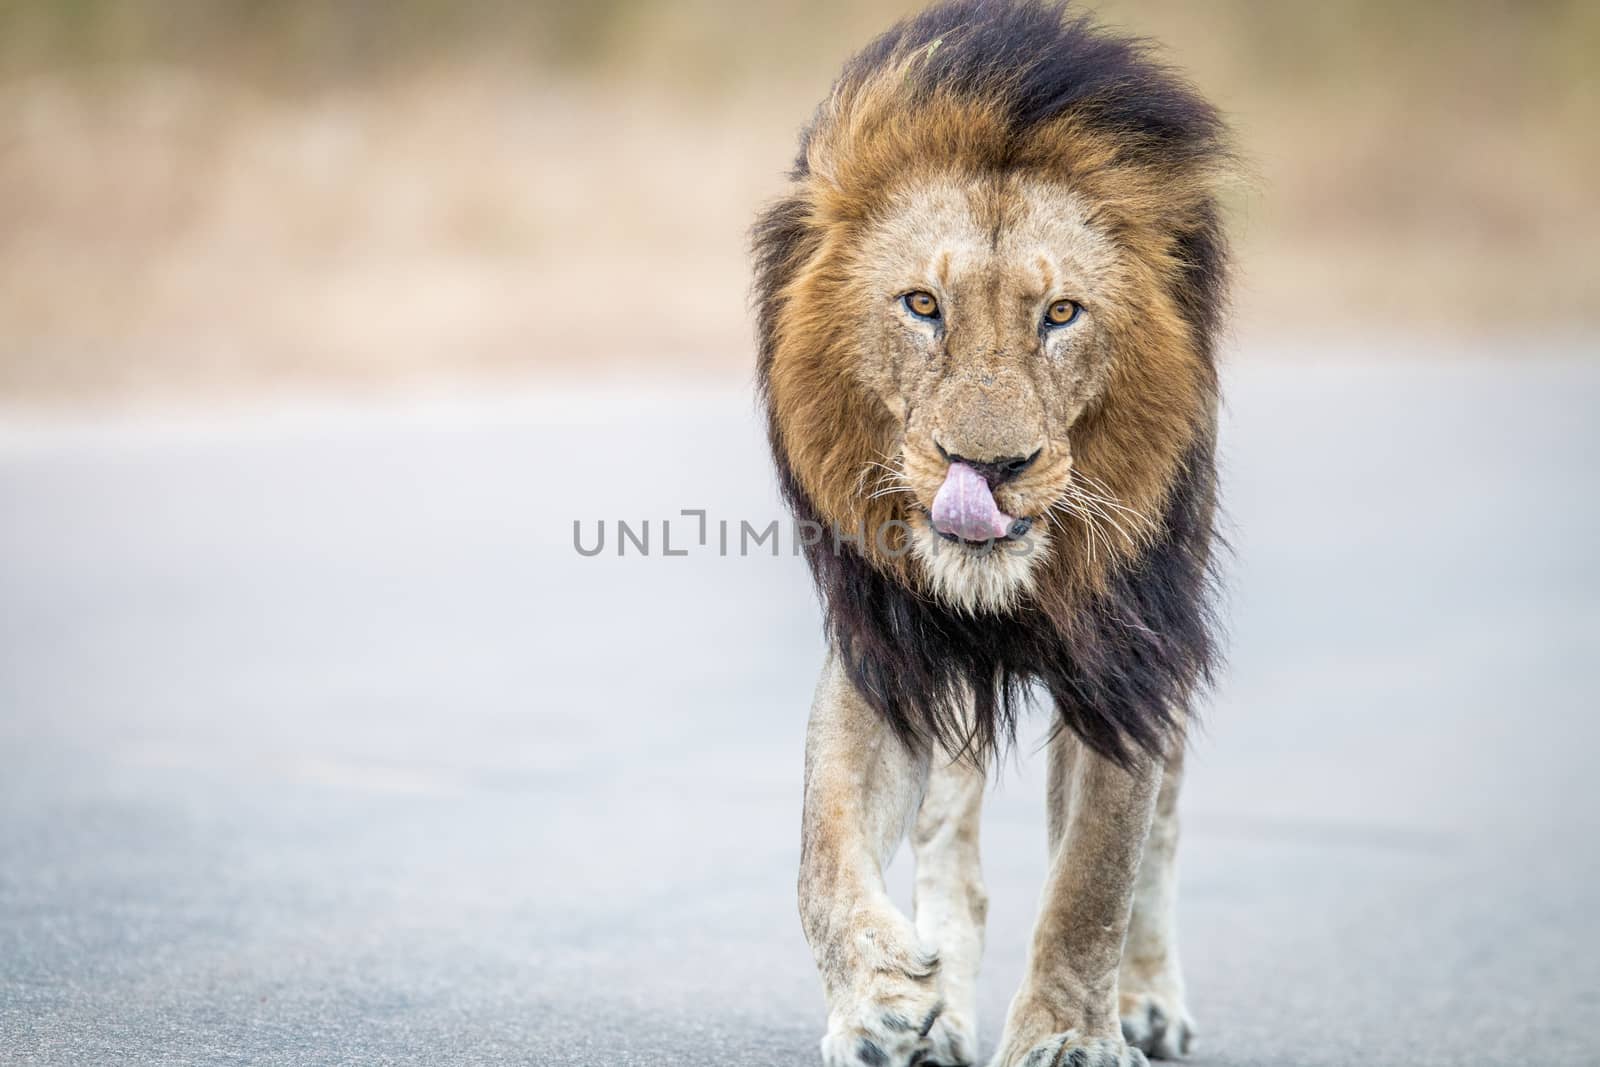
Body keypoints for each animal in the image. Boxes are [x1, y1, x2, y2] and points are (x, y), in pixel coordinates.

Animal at [752, 2, 1235, 1067]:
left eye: (1060, 314)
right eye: (922, 306)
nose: (989, 466)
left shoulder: (1128, 659)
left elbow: (1096, 876)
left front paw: (1069, 1034)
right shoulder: (886, 646)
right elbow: (824, 847)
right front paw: (879, 999)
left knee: (1164, 830)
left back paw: (1147, 999)